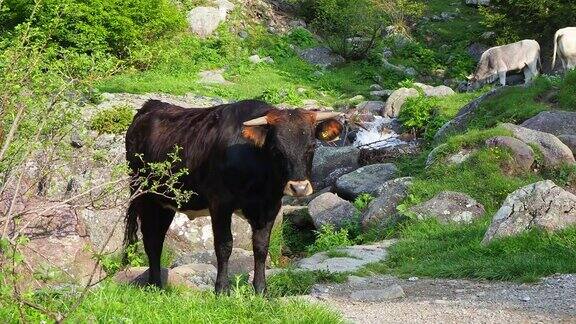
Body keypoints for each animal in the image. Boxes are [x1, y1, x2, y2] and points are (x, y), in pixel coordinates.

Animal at [122, 99, 342, 294]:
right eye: (276, 149)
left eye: (312, 146)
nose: (299, 188)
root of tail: (149, 107)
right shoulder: (220, 203)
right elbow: (224, 245)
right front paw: (221, 289)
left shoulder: (270, 206)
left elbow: (261, 247)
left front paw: (261, 290)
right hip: (143, 195)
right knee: (150, 239)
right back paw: (154, 285)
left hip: (165, 203)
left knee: (157, 238)